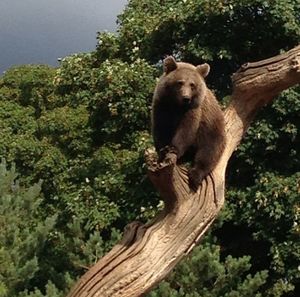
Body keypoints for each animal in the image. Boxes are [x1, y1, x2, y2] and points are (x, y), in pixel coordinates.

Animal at [152, 56, 225, 190]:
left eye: (192, 84)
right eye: (180, 82)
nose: (186, 98)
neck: (176, 105)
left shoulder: (193, 110)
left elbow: (186, 130)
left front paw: (173, 148)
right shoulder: (161, 105)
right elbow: (160, 128)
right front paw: (162, 150)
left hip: (213, 129)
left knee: (208, 151)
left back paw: (195, 175)